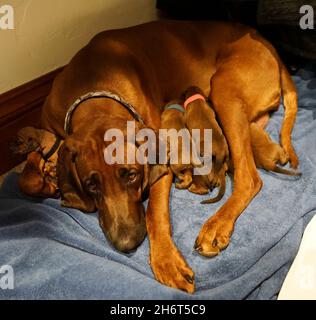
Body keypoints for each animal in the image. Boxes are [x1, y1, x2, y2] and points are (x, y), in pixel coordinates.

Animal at [17, 21, 298, 294]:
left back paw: (216, 225)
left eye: (132, 175)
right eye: (91, 185)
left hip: (224, 90)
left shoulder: (159, 161)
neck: (93, 89)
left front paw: (166, 262)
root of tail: (264, 40)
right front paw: (47, 177)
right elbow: (26, 178)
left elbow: (155, 213)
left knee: (249, 177)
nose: (127, 243)